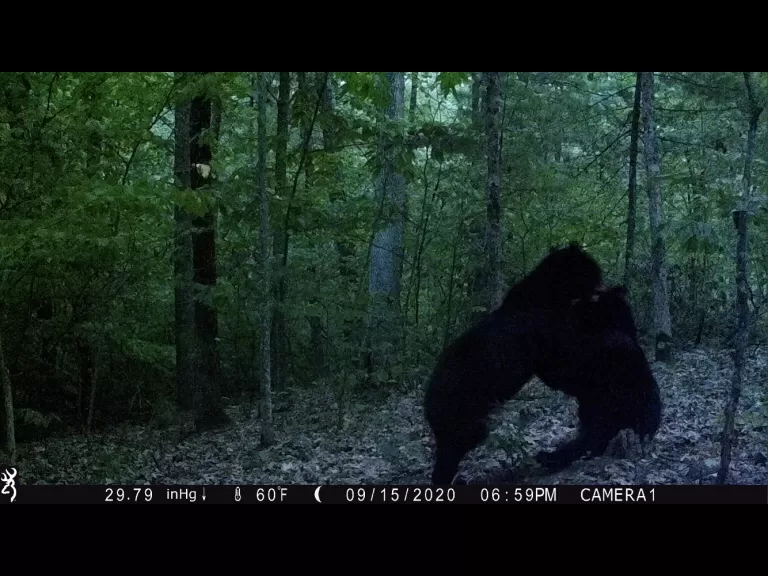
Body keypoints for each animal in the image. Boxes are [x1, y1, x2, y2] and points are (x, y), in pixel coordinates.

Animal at [424, 243, 604, 485]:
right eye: (591, 266)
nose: (602, 281)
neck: (551, 295)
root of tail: (428, 401)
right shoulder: (541, 331)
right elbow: (558, 363)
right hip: (460, 408)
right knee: (463, 440)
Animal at [533, 285, 661, 472]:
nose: (570, 306)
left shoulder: (598, 359)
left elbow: (566, 373)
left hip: (614, 415)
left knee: (591, 439)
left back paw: (549, 457)